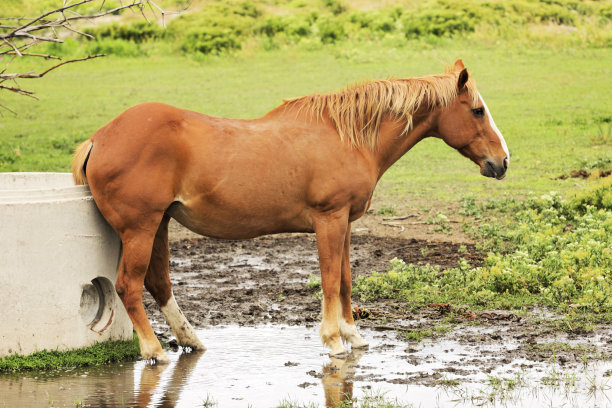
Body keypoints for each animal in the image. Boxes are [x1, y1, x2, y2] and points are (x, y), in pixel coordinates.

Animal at [71, 59, 510, 362]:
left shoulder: (345, 223)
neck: (347, 137)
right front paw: (334, 342)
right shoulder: (328, 220)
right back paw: (155, 351)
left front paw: (353, 336)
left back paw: (190, 341)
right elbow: (330, 281)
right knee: (129, 285)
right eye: (477, 111)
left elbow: (346, 280)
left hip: (159, 224)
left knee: (158, 282)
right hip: (141, 228)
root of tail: (100, 138)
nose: (502, 162)